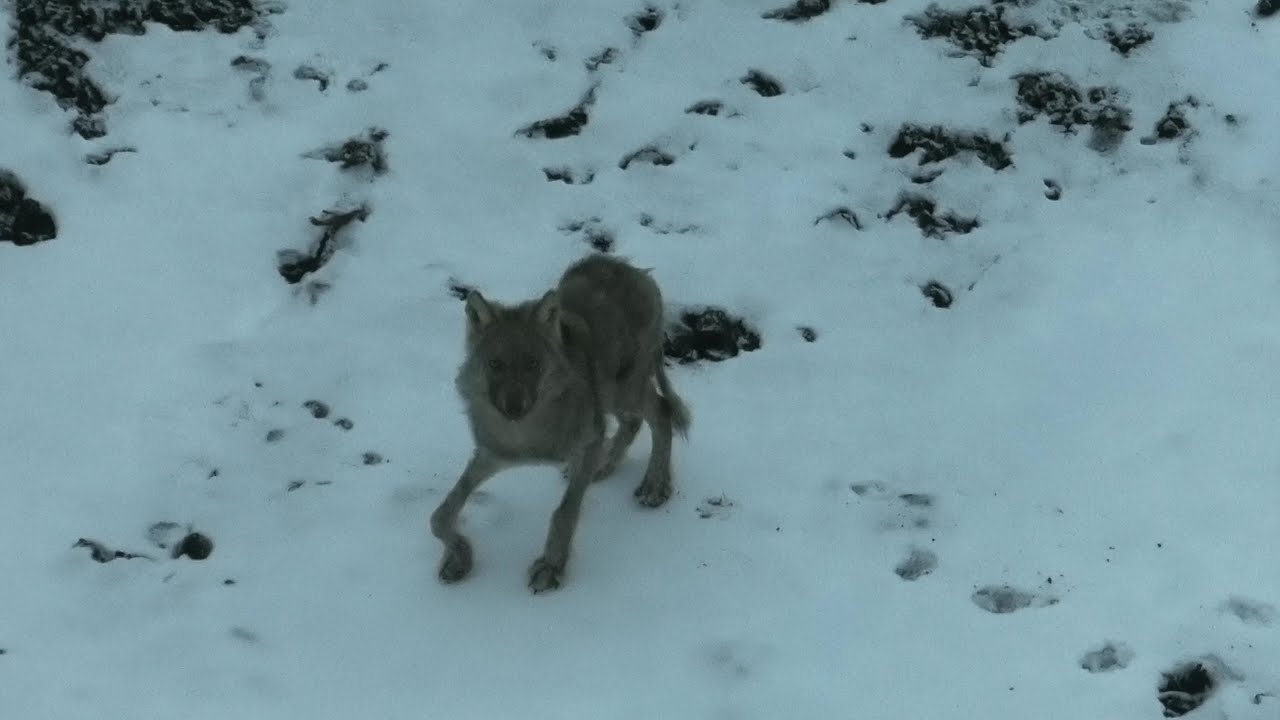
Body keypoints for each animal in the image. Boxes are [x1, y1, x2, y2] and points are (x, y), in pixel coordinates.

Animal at [429, 254, 691, 593]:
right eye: (495, 364)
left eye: (532, 363)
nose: (514, 407)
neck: (525, 437)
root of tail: (636, 271)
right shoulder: (490, 455)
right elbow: (440, 515)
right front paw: (459, 556)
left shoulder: (588, 441)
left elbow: (564, 513)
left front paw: (551, 567)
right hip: (611, 397)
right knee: (632, 423)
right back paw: (606, 466)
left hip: (624, 390)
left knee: (661, 412)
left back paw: (655, 486)